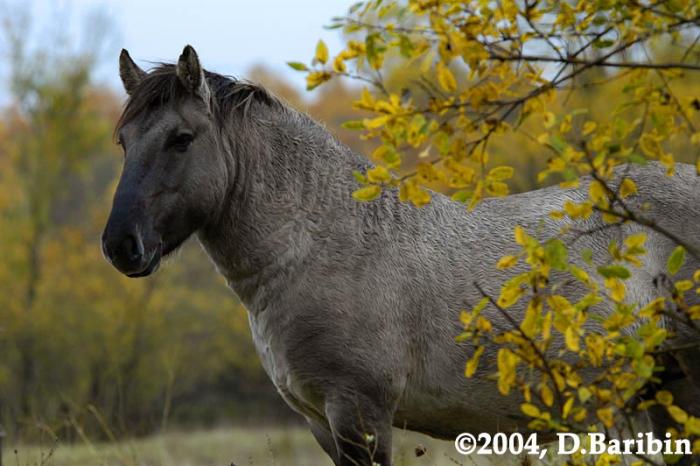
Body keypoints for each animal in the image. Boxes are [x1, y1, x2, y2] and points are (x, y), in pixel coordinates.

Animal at [102, 44, 700, 466]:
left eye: (181, 138)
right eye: (124, 142)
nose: (119, 245)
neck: (318, 245)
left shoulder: (360, 414)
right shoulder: (321, 422)